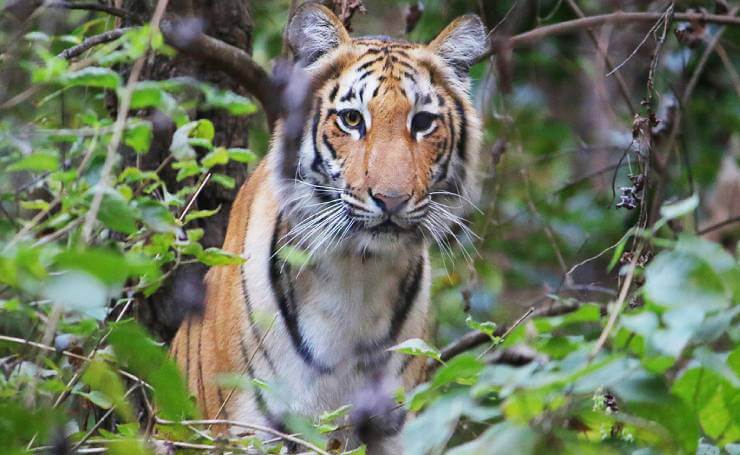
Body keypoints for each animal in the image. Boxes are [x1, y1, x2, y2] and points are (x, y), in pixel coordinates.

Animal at [171, 2, 488, 452]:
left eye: (423, 122)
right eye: (352, 120)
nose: (391, 198)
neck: (357, 275)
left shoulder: (393, 428)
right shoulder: (249, 430)